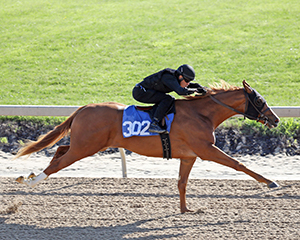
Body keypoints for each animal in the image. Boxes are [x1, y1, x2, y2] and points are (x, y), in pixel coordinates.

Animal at [15, 80, 280, 214]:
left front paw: (185, 210)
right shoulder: (206, 150)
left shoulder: (189, 156)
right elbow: (238, 164)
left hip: (85, 144)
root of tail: (84, 108)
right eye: (259, 100)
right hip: (85, 147)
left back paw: (31, 175)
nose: (276, 119)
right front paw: (271, 182)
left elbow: (182, 183)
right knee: (59, 163)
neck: (202, 113)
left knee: (60, 150)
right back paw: (31, 181)